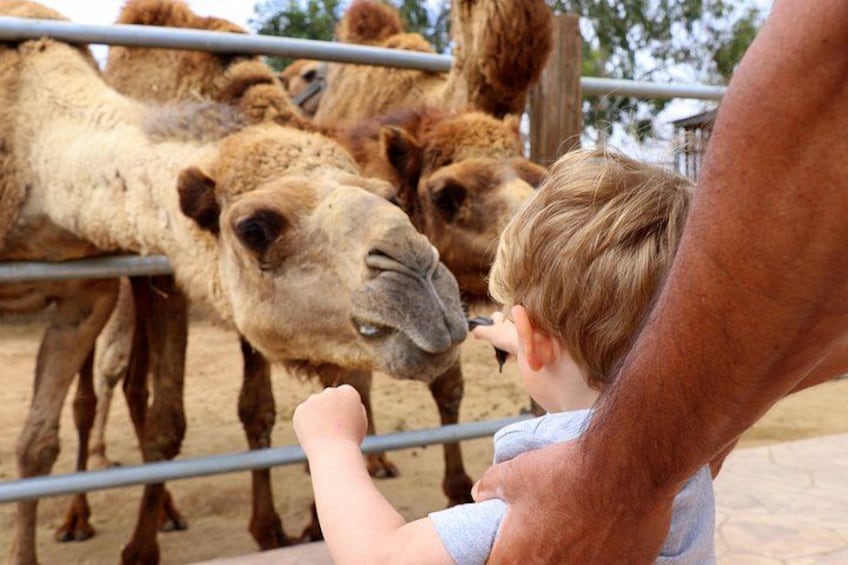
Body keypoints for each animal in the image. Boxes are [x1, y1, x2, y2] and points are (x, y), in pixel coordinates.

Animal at [0, 2, 468, 564]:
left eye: (391, 196)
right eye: (254, 228)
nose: (420, 276)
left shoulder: (87, 292)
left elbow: (36, 445)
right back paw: (84, 517)